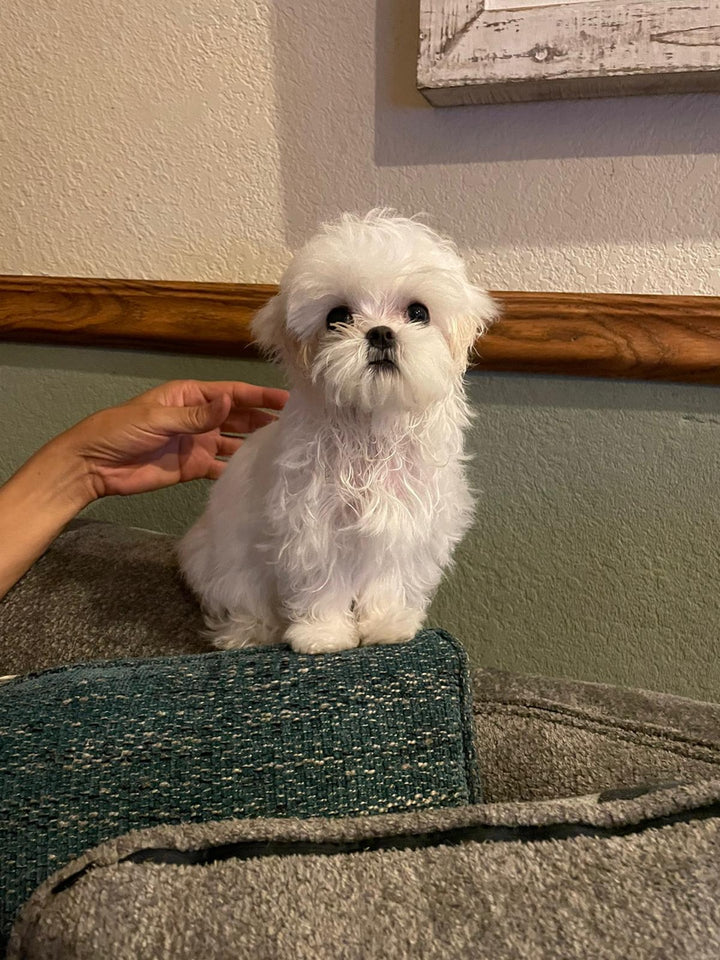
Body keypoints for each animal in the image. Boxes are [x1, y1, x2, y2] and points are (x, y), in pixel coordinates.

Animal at [179, 211, 496, 656]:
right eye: (338, 317)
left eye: (418, 312)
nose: (380, 332)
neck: (371, 425)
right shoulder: (311, 523)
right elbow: (322, 581)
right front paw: (324, 634)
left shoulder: (405, 521)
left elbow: (389, 578)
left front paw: (386, 624)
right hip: (227, 567)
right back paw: (248, 633)